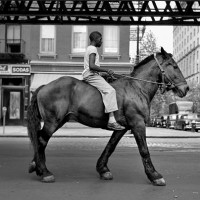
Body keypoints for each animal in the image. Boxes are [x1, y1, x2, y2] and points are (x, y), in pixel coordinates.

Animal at [27, 48, 188, 186]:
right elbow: (144, 150)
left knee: (39, 138)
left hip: (59, 121)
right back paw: (44, 171)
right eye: (174, 66)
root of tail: (44, 86)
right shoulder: (138, 123)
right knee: (41, 140)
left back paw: (36, 166)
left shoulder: (122, 128)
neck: (137, 87)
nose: (185, 88)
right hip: (52, 122)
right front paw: (154, 176)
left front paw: (103, 169)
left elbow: (110, 146)